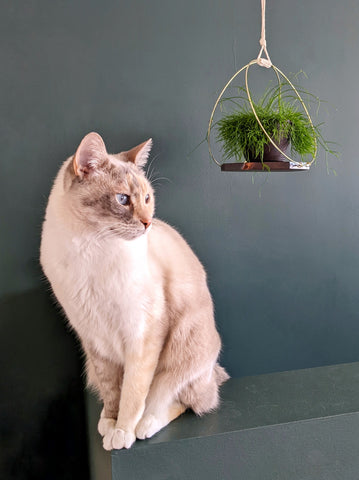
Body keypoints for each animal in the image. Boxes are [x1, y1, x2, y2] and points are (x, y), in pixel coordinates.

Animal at [40, 131, 231, 450]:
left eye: (147, 198)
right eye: (123, 199)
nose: (147, 222)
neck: (89, 249)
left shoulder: (142, 334)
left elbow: (133, 392)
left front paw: (123, 432)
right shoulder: (94, 339)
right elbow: (112, 390)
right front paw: (110, 423)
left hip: (183, 347)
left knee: (186, 400)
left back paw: (146, 424)